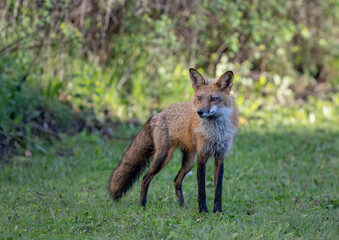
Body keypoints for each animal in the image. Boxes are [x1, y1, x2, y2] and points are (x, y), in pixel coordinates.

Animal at [109, 68, 239, 212]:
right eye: (199, 98)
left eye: (213, 99)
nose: (199, 112)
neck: (215, 132)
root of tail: (159, 113)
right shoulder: (202, 157)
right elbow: (202, 190)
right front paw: (203, 211)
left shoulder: (220, 157)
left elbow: (218, 189)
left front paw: (217, 211)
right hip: (163, 157)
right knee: (145, 178)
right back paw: (142, 205)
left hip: (189, 162)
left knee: (176, 180)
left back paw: (182, 206)